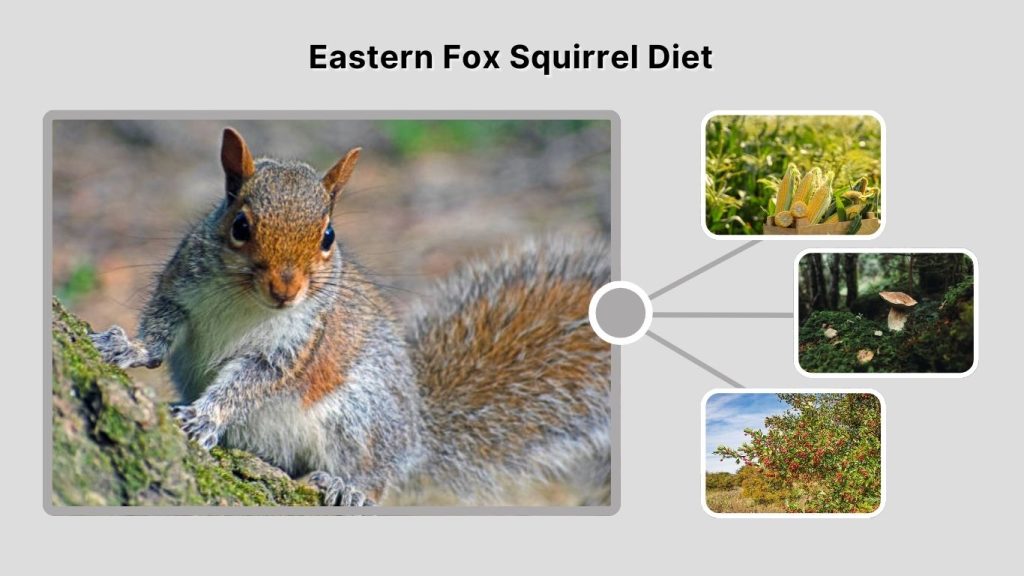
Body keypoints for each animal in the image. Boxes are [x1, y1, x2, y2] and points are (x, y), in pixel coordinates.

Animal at [89, 128, 611, 506]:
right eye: (239, 226)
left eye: (328, 236)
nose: (286, 289)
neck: (246, 303)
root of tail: (416, 441)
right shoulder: (180, 289)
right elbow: (158, 332)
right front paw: (127, 346)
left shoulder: (297, 344)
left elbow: (251, 382)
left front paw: (204, 416)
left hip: (359, 417)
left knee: (379, 478)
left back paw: (351, 486)